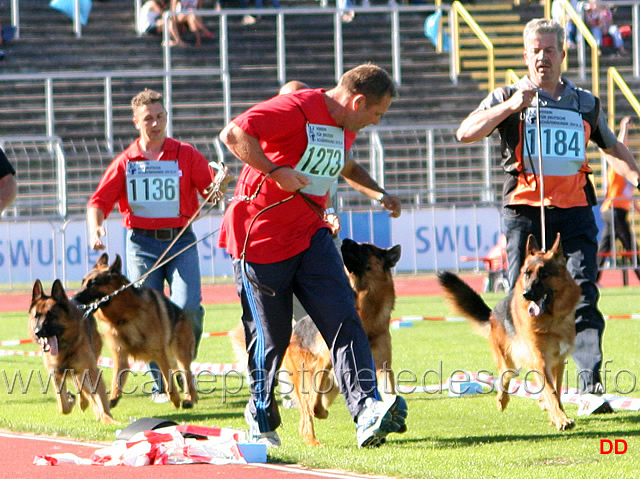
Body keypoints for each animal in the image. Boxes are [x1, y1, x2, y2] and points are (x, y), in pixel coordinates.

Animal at [28, 280, 115, 426]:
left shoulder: (90, 371)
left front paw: (108, 418)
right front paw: (70, 400)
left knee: (83, 386)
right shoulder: (55, 374)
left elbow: (100, 398)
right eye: (36, 316)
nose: (38, 332)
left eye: (51, 315)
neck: (64, 348)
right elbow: (62, 405)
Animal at [73, 253, 198, 410]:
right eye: (83, 282)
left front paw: (175, 399)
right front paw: (112, 400)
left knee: (186, 375)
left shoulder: (159, 354)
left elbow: (168, 381)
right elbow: (116, 381)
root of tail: (181, 313)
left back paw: (190, 399)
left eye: (93, 283)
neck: (124, 316)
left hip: (180, 353)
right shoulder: (120, 356)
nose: (73, 297)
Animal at [440, 234, 580, 434]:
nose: (526, 294)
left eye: (544, 274)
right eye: (527, 274)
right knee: (504, 377)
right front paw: (561, 419)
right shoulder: (540, 360)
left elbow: (556, 391)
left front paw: (558, 415)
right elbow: (551, 392)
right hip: (510, 362)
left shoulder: (557, 362)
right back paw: (502, 399)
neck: (551, 320)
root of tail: (492, 313)